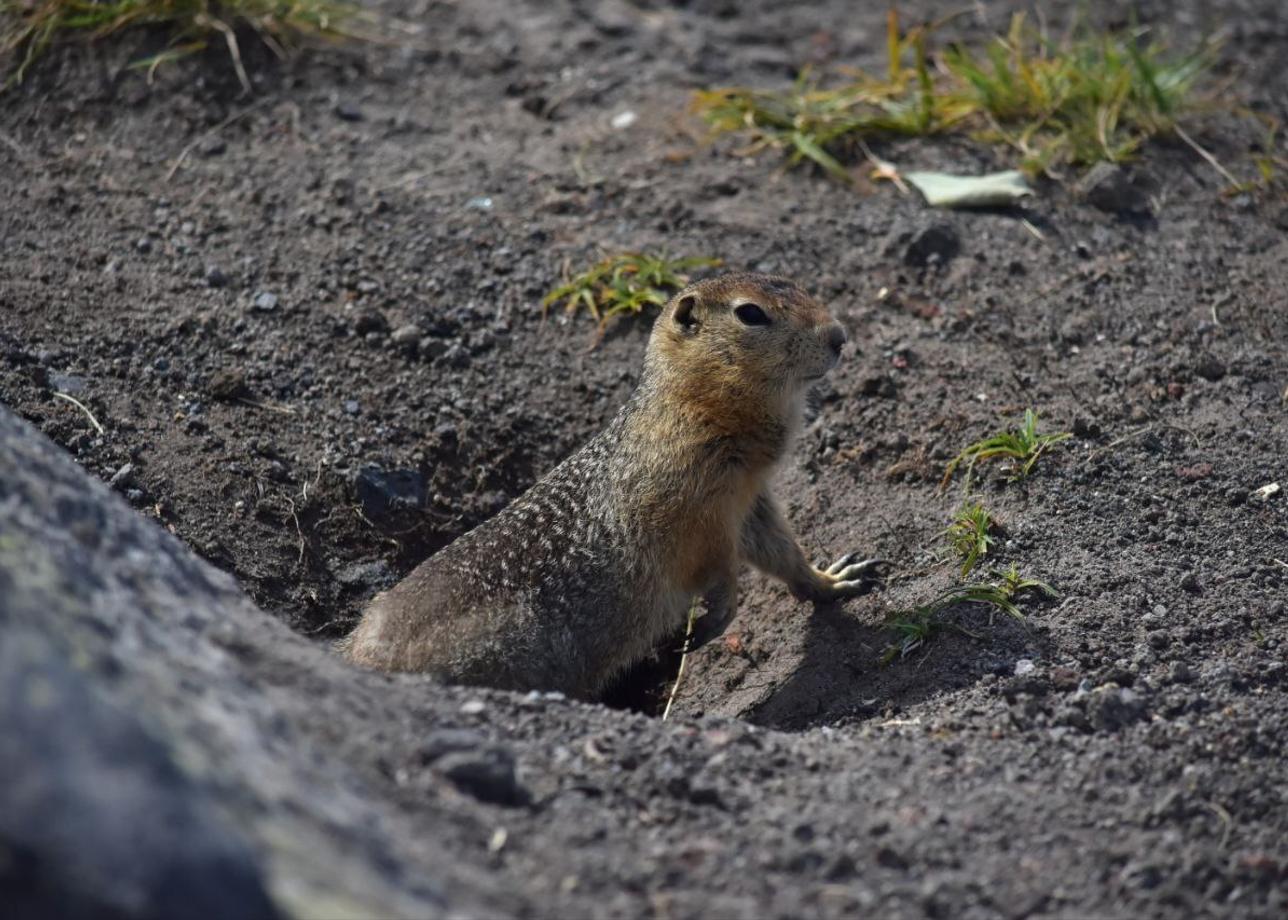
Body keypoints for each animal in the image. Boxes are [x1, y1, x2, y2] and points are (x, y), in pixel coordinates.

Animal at [342, 271, 880, 695]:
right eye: (750, 313)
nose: (839, 336)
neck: (695, 405)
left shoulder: (747, 500)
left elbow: (777, 550)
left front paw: (835, 578)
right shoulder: (691, 505)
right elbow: (718, 566)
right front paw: (717, 615)